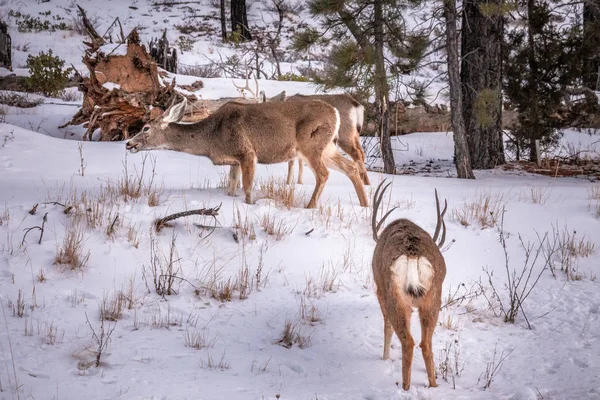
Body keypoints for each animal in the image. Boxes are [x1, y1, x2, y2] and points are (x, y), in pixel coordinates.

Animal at [125, 97, 370, 209]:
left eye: (145, 128)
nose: (129, 144)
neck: (213, 138)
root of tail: (335, 112)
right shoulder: (234, 160)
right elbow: (232, 186)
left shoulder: (247, 151)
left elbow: (248, 186)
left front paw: (250, 205)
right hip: (327, 147)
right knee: (350, 167)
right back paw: (365, 205)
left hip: (311, 144)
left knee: (324, 174)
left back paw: (310, 207)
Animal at [370, 180, 450, 390]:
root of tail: (413, 255)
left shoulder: (379, 290)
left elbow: (386, 326)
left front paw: (385, 356)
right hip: (433, 297)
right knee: (426, 343)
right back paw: (433, 384)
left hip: (394, 296)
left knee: (408, 341)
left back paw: (405, 387)